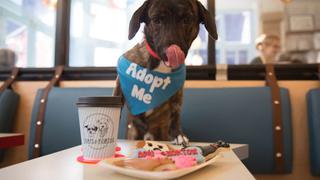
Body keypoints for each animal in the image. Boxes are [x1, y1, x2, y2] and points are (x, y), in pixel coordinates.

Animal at [113, 0, 218, 144]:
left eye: (186, 19)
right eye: (156, 20)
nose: (171, 51)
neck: (159, 63)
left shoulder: (177, 93)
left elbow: (175, 113)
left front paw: (177, 134)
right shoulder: (120, 85)